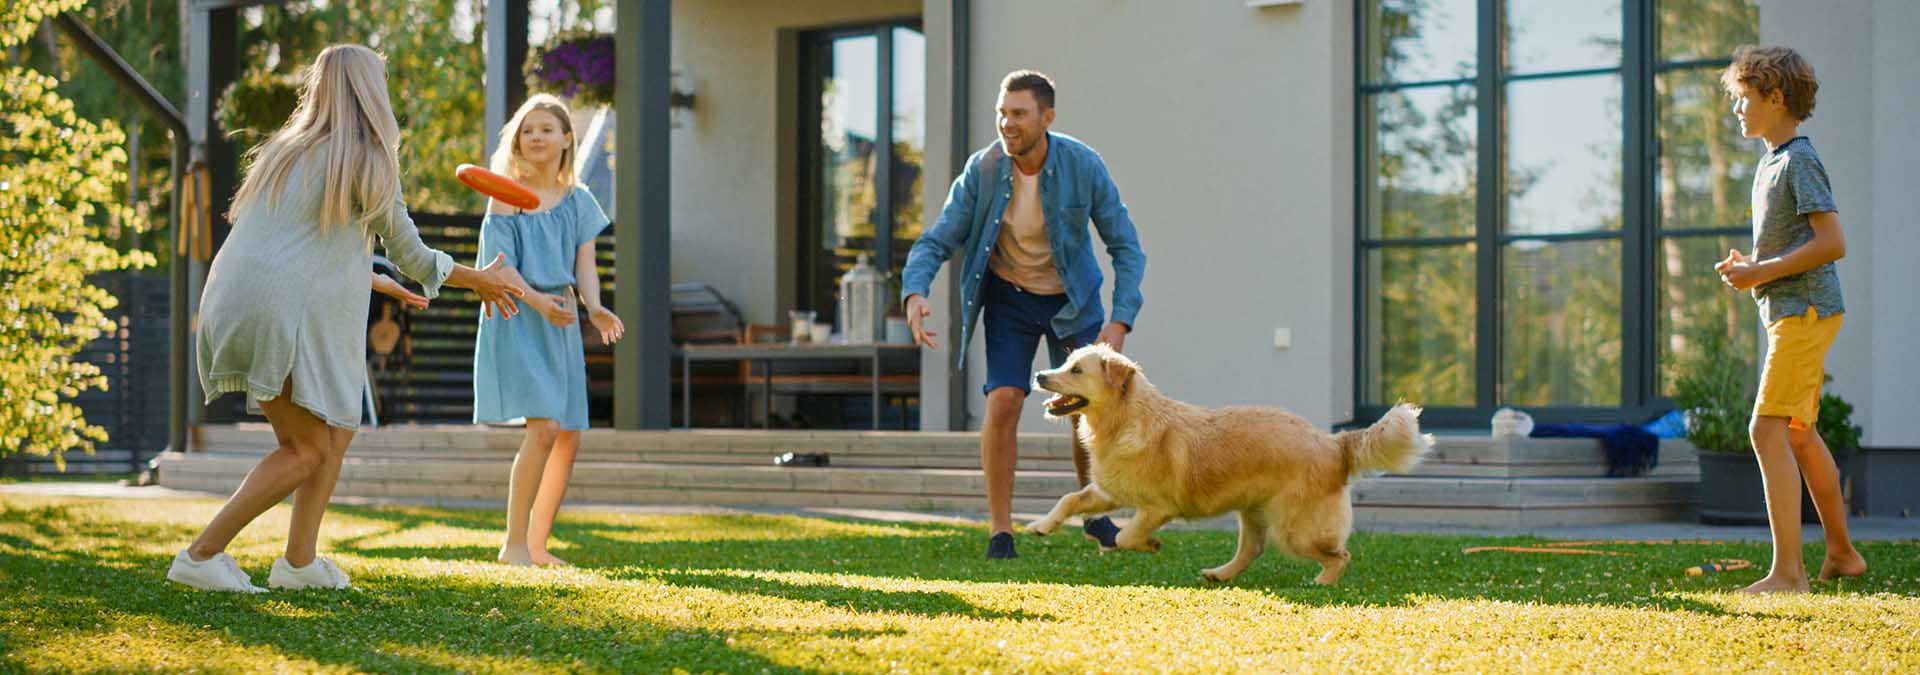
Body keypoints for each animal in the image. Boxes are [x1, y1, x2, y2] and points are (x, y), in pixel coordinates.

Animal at [1029, 345, 1436, 582]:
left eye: (1077, 370)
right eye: (1066, 362)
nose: (1040, 375)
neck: (1125, 418)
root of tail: (1333, 442)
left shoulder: (1158, 507)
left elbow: (1125, 535)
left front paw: (1150, 544)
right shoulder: (1108, 491)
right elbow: (1070, 499)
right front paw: (1041, 526)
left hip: (1294, 531)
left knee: (1341, 555)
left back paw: (1322, 582)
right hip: (1253, 512)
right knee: (1252, 550)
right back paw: (1220, 574)